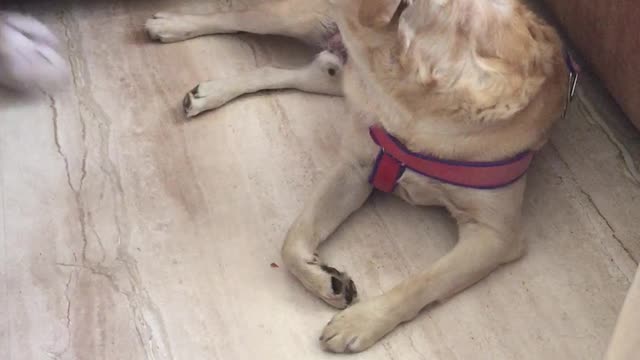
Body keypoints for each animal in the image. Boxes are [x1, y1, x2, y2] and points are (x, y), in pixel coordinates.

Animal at [144, 0, 564, 352]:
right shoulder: (354, 169)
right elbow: (292, 239)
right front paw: (325, 281)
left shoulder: (494, 234)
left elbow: (421, 282)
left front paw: (358, 320)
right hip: (301, 19)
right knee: (239, 17)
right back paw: (173, 24)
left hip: (333, 76)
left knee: (283, 71)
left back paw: (212, 91)